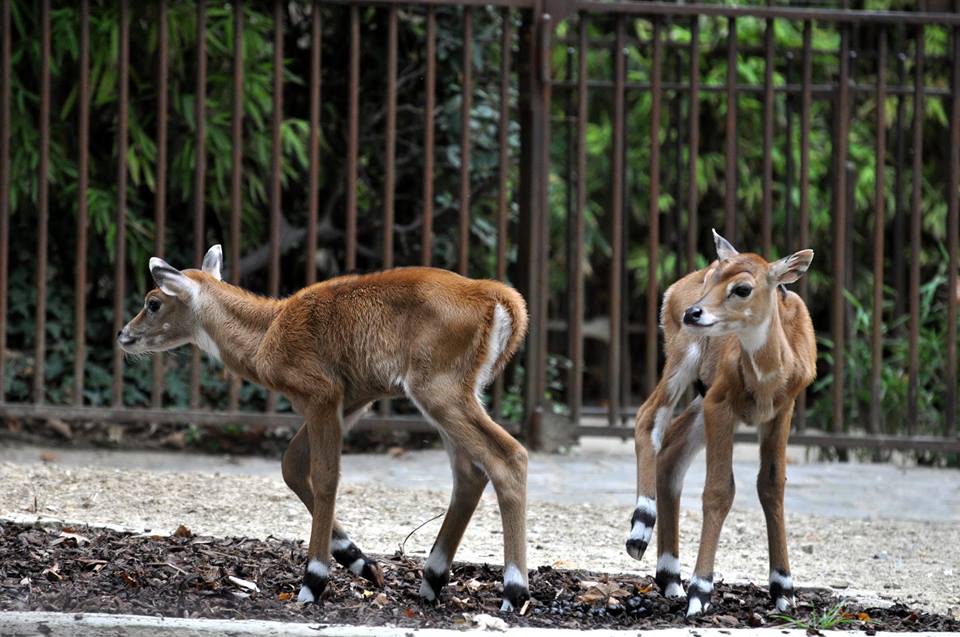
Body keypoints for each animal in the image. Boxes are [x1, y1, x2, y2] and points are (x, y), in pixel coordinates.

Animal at [118, 245, 532, 612]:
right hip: (456, 393)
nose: (123, 335)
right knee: (469, 473)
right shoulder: (351, 400)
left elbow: (325, 475)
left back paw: (514, 592)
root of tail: (500, 300)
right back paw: (432, 580)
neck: (269, 331)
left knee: (508, 457)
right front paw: (359, 561)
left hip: (439, 390)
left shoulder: (321, 393)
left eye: (153, 302)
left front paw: (313, 580)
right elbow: (291, 466)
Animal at [624, 230, 816, 616]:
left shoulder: (781, 411)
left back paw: (670, 577)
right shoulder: (720, 403)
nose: (693, 313)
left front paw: (783, 588)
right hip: (683, 362)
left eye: (742, 288)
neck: (768, 377)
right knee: (649, 418)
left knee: (672, 451)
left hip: (699, 400)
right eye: (714, 278)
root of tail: (672, 290)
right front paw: (701, 591)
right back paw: (640, 530)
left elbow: (772, 485)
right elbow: (718, 490)